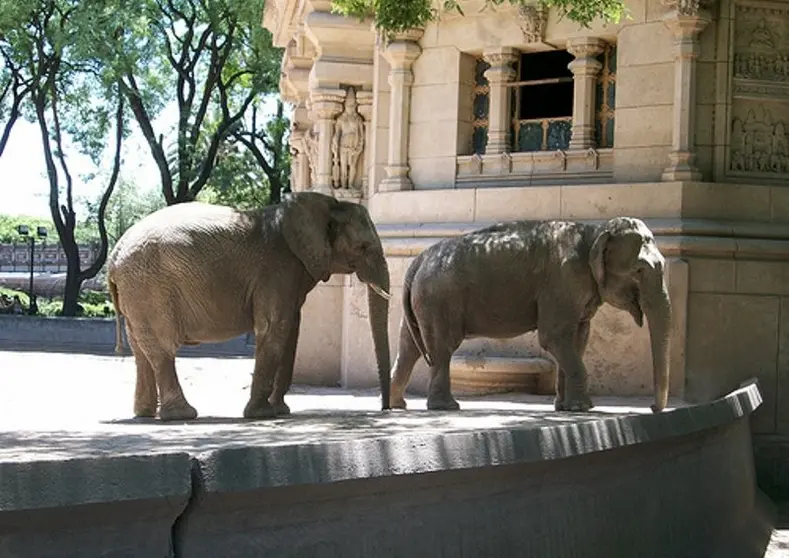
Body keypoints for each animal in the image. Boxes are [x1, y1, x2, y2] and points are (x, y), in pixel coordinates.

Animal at [107, 191, 390, 420]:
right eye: (363, 247)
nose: (385, 408)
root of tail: (114, 255)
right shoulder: (277, 269)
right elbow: (275, 327)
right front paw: (262, 414)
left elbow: (291, 332)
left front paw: (280, 411)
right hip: (149, 287)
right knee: (162, 348)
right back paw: (181, 415)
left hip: (137, 291)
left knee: (141, 350)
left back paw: (145, 414)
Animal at [390, 219, 668, 416]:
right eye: (639, 270)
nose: (653, 409)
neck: (594, 231)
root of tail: (418, 260)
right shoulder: (563, 282)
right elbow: (553, 337)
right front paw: (583, 408)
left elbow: (578, 339)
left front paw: (566, 408)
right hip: (439, 299)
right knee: (442, 347)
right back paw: (446, 407)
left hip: (423, 301)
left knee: (409, 348)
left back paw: (397, 405)